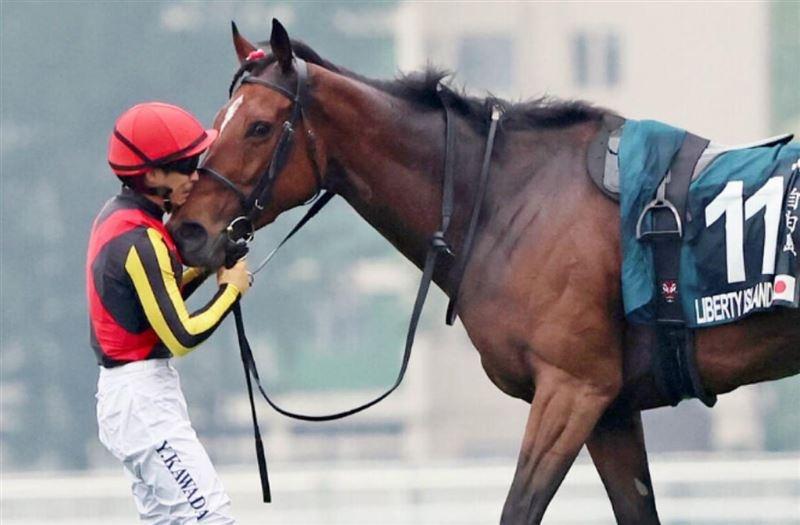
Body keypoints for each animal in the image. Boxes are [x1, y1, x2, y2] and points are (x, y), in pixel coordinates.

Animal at [168, 20, 800, 524]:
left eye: (258, 127)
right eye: (218, 120)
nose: (188, 230)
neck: (503, 199)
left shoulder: (572, 389)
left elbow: (518, 508)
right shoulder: (612, 408)